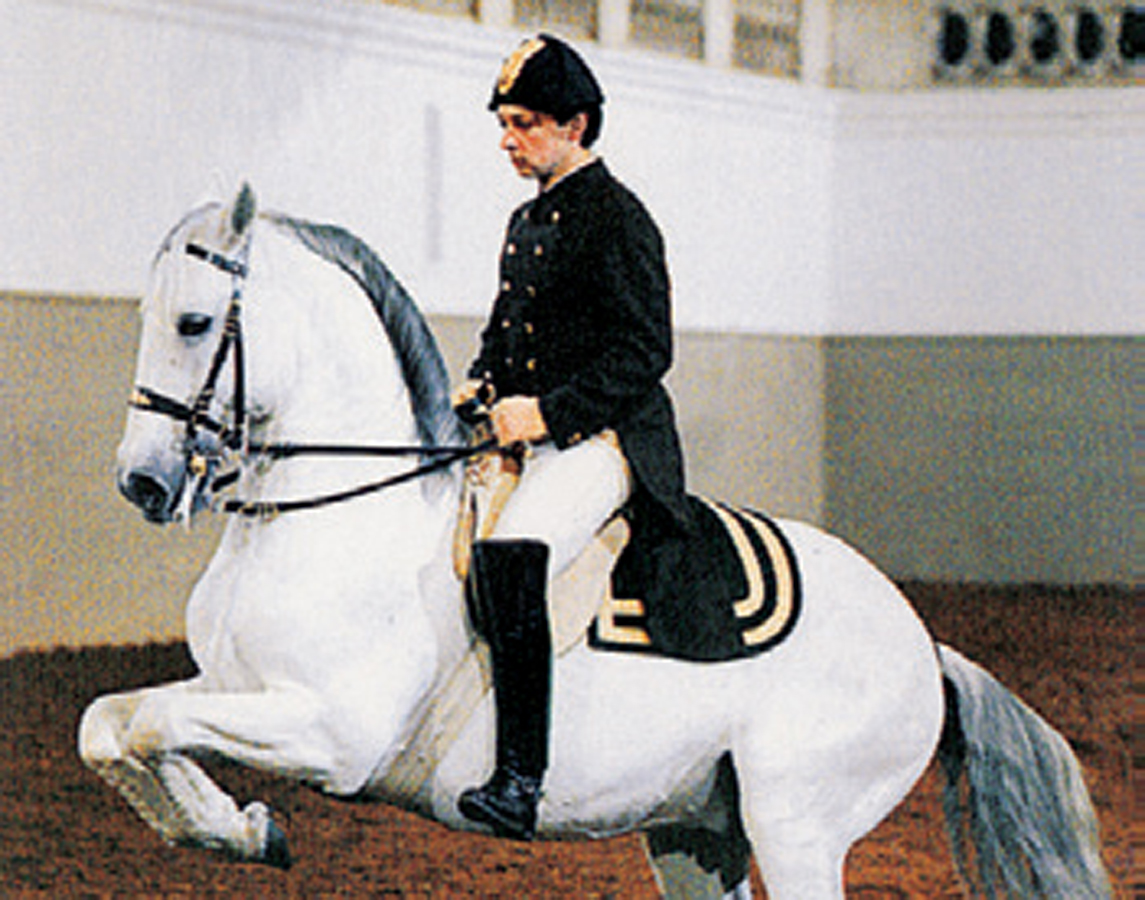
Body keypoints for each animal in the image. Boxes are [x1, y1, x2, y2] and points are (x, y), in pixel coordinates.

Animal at [78, 185, 1108, 893]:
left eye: (194, 322)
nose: (143, 482)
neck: (328, 512)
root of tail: (922, 644)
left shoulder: (329, 733)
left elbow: (150, 724)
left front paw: (245, 825)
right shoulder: (231, 687)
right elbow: (112, 724)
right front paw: (241, 826)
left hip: (798, 827)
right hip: (698, 833)